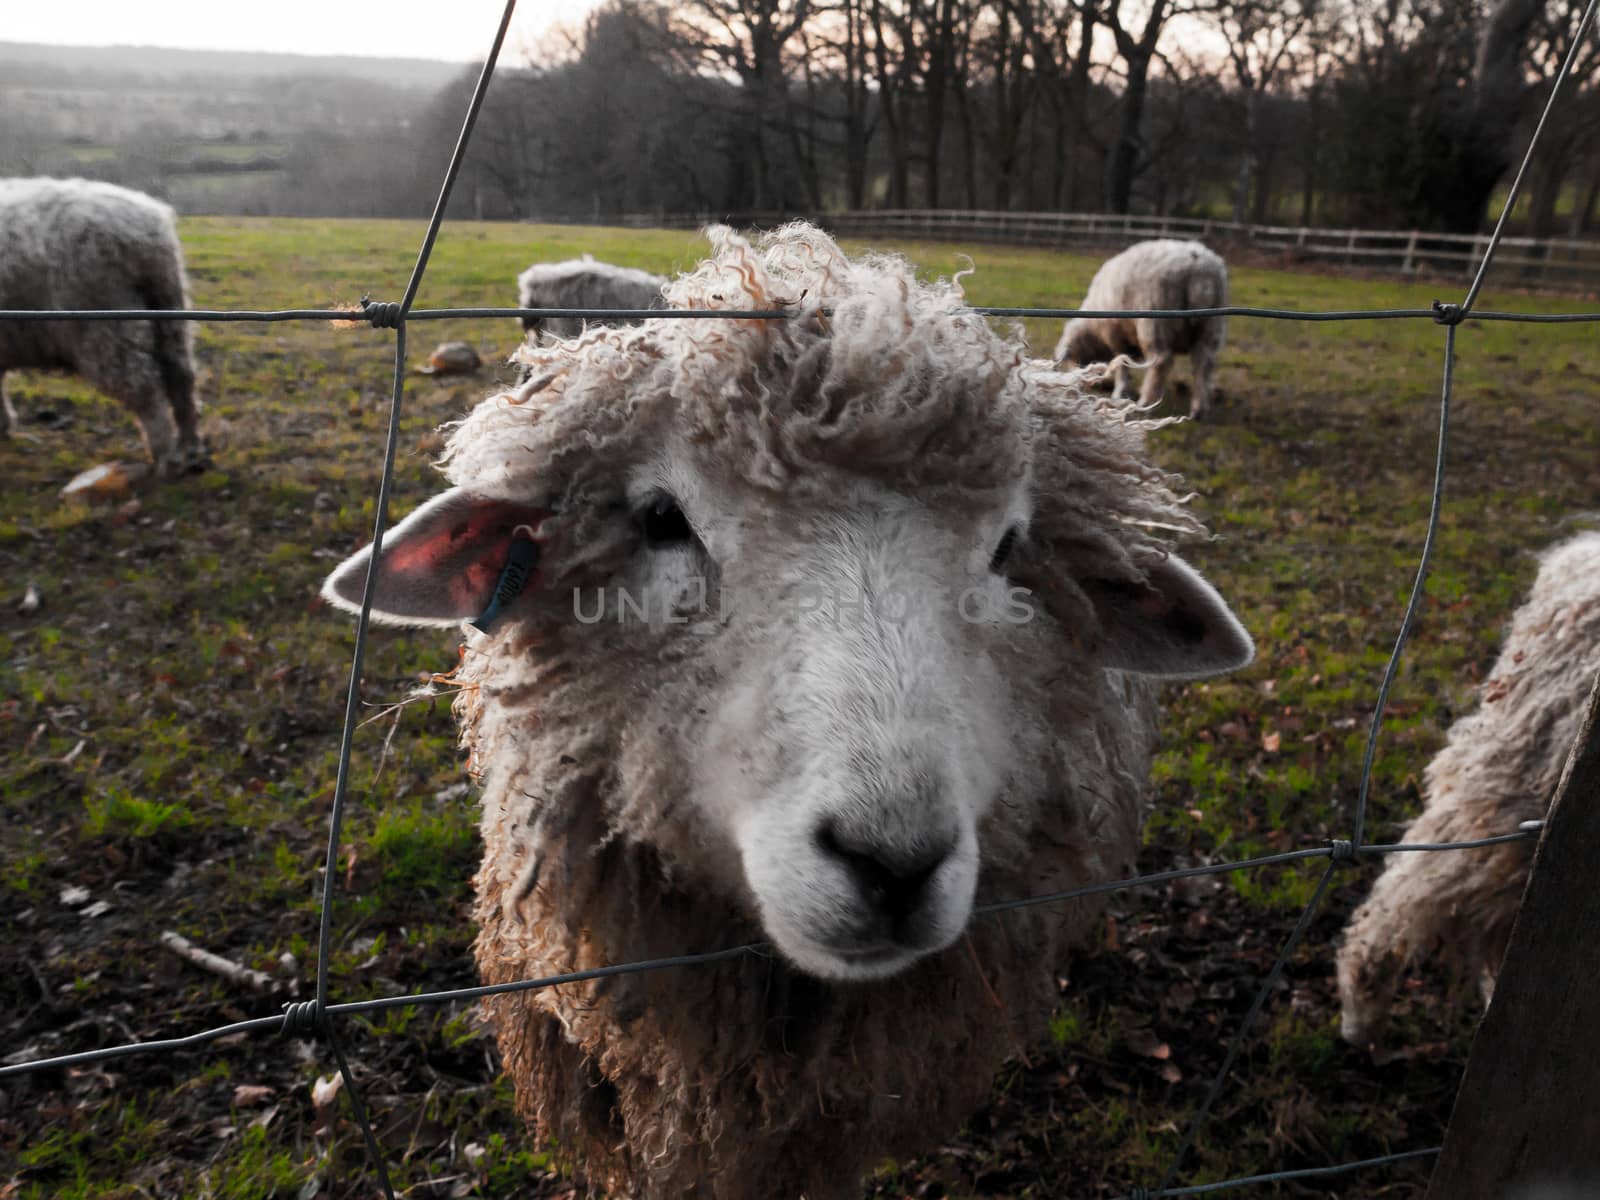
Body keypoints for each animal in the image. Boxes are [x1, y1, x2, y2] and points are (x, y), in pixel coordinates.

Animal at [0, 178, 208, 480]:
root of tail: (145, 233)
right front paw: (3, 425)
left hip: (106, 323)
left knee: (145, 389)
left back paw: (165, 455)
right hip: (168, 311)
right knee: (182, 379)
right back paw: (190, 448)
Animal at [1056, 236, 1228, 419]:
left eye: (1075, 360)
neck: (1095, 330)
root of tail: (1200, 274)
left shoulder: (1116, 336)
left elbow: (1122, 364)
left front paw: (1119, 392)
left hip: (1156, 320)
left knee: (1161, 362)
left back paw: (1146, 403)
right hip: (1211, 326)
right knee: (1203, 362)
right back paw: (1199, 409)